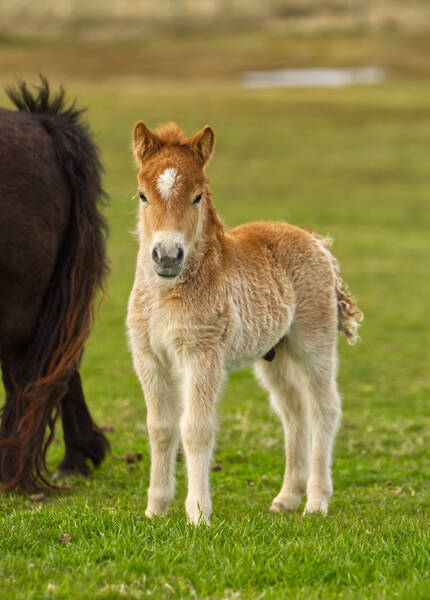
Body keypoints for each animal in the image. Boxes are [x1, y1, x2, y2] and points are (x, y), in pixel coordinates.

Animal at [127, 119, 362, 524]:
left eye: (197, 197)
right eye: (143, 195)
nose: (167, 256)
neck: (166, 295)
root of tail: (317, 241)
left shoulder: (203, 354)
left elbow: (196, 428)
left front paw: (198, 514)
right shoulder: (149, 357)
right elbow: (160, 427)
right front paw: (155, 508)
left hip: (313, 342)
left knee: (324, 408)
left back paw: (316, 501)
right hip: (274, 353)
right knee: (292, 409)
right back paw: (287, 498)